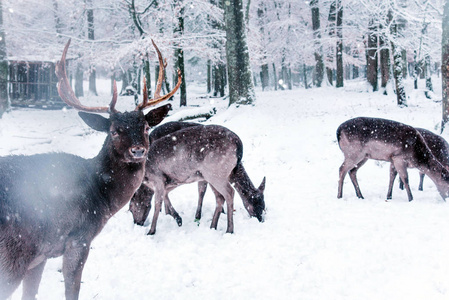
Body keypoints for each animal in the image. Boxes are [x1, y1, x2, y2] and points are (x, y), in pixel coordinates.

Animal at [0, 39, 182, 300]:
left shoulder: (41, 255)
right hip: (14, 251)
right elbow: (72, 289)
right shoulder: (79, 237)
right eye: (114, 130)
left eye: (146, 127)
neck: (100, 197)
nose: (138, 150)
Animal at [128, 122, 264, 234]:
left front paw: (152, 231)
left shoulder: (158, 178)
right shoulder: (172, 181)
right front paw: (178, 218)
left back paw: (229, 230)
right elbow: (166, 196)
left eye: (131, 208)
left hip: (214, 172)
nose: (137, 223)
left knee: (229, 192)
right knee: (220, 197)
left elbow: (157, 204)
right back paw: (213, 226)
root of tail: (239, 145)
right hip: (212, 175)